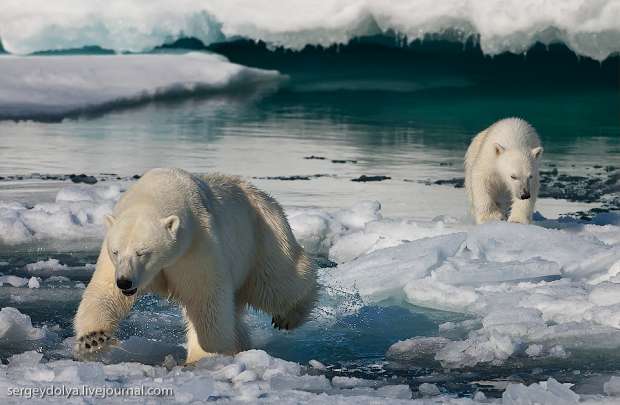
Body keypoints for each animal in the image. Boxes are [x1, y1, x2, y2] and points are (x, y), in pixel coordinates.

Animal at [74, 167, 320, 362]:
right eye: (116, 251)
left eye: (143, 252)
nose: (125, 282)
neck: (157, 191)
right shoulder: (113, 260)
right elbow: (104, 291)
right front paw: (92, 340)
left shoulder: (196, 245)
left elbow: (204, 298)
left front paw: (204, 354)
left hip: (262, 233)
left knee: (277, 282)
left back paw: (288, 316)